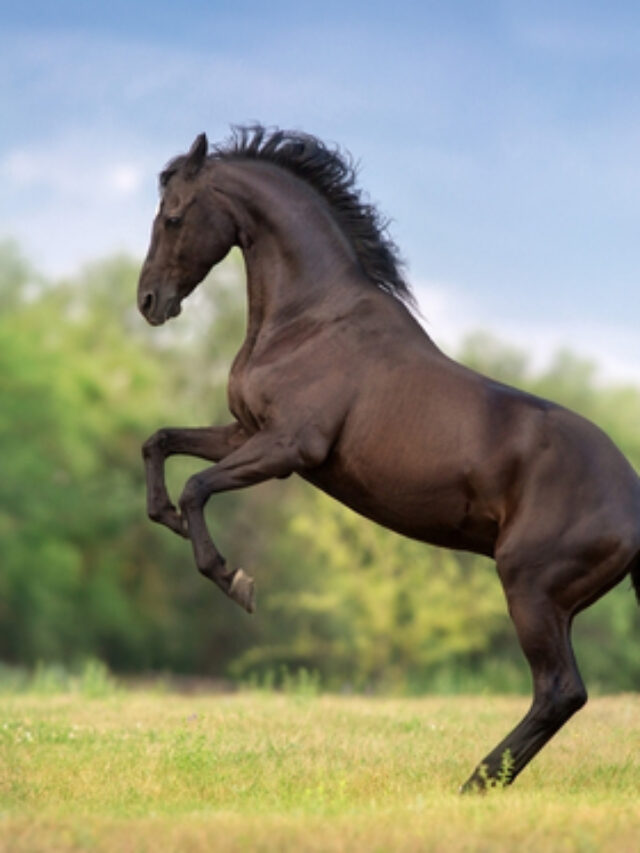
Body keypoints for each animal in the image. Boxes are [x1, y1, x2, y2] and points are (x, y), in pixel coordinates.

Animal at [137, 126, 640, 791]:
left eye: (172, 217)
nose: (148, 302)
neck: (310, 321)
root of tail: (635, 501)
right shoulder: (245, 431)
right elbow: (160, 443)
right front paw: (165, 517)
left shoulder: (287, 446)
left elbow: (197, 485)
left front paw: (233, 579)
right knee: (561, 694)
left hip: (531, 591)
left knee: (560, 691)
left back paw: (474, 785)